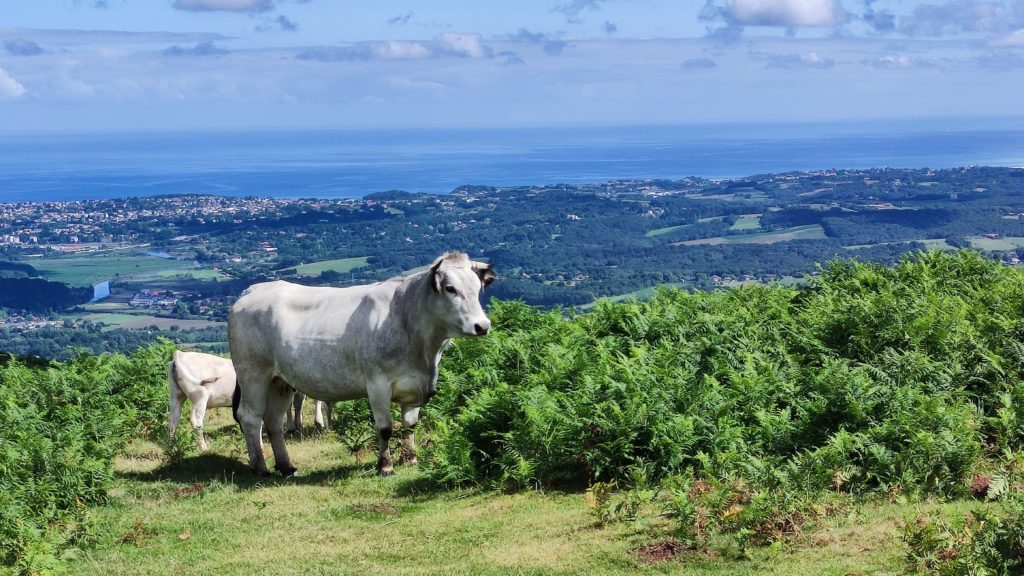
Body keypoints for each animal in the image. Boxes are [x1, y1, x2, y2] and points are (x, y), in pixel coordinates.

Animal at [230, 251, 493, 475]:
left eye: (477, 288)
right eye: (450, 288)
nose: (482, 325)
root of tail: (253, 289)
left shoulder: (414, 386)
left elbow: (410, 425)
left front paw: (410, 459)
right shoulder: (377, 384)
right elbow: (385, 428)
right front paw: (385, 466)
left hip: (280, 380)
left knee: (273, 421)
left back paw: (286, 467)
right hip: (253, 373)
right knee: (250, 417)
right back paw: (260, 467)